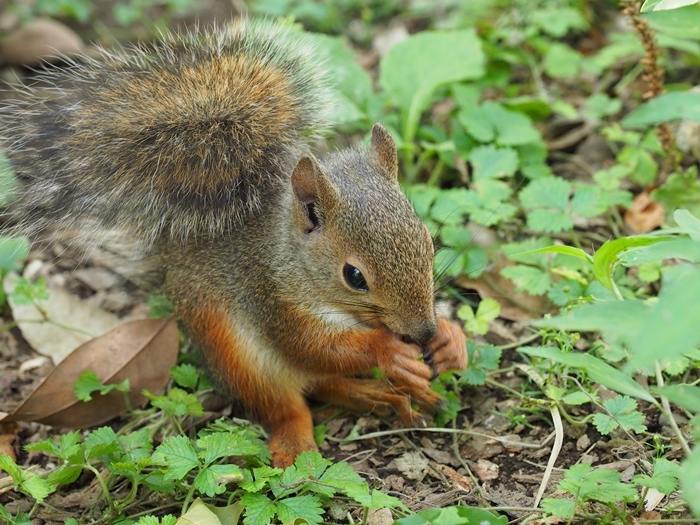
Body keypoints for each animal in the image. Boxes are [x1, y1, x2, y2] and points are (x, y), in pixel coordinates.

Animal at [1, 19, 470, 466]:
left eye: (429, 243)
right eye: (354, 276)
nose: (423, 332)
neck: (290, 257)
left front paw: (450, 340)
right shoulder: (271, 297)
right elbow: (314, 347)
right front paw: (389, 351)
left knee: (326, 385)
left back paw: (387, 395)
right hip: (239, 356)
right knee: (290, 402)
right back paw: (304, 438)